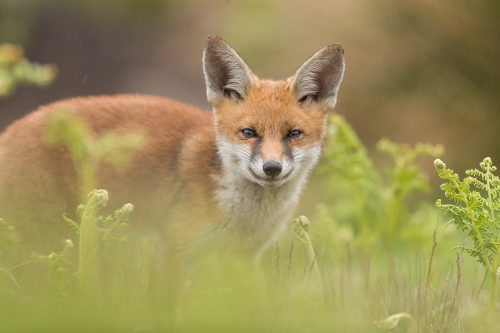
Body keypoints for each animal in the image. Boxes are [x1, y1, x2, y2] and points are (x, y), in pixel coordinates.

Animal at [0, 36, 344, 254]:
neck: (244, 216)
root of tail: (11, 129)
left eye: (293, 134)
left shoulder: (245, 257)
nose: (272, 168)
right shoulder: (175, 245)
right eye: (248, 132)